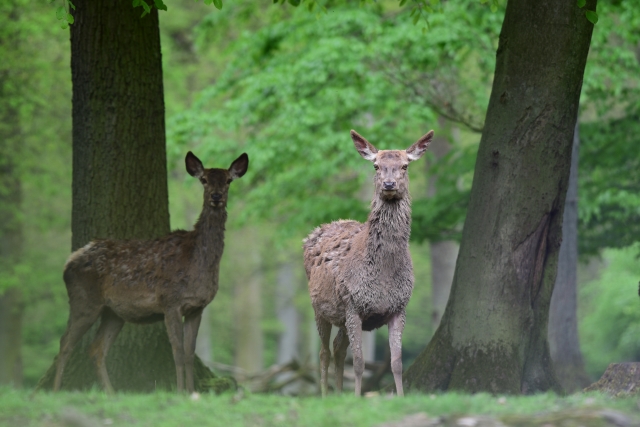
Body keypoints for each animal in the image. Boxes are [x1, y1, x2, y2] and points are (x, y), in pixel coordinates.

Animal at [52, 151, 249, 394]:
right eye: (204, 179)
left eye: (228, 180)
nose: (216, 196)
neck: (198, 262)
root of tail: (68, 261)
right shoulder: (170, 302)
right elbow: (178, 352)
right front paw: (180, 392)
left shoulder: (197, 307)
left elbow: (190, 353)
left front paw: (192, 392)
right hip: (84, 301)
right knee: (65, 343)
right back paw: (55, 391)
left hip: (113, 312)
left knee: (96, 348)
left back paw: (111, 393)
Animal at [303, 129, 433, 397]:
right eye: (376, 165)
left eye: (405, 165)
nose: (389, 184)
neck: (383, 275)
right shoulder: (353, 305)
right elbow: (360, 362)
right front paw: (356, 397)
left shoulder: (399, 308)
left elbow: (397, 362)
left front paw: (400, 396)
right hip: (319, 308)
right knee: (323, 352)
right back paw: (325, 395)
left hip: (340, 315)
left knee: (338, 348)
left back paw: (339, 392)